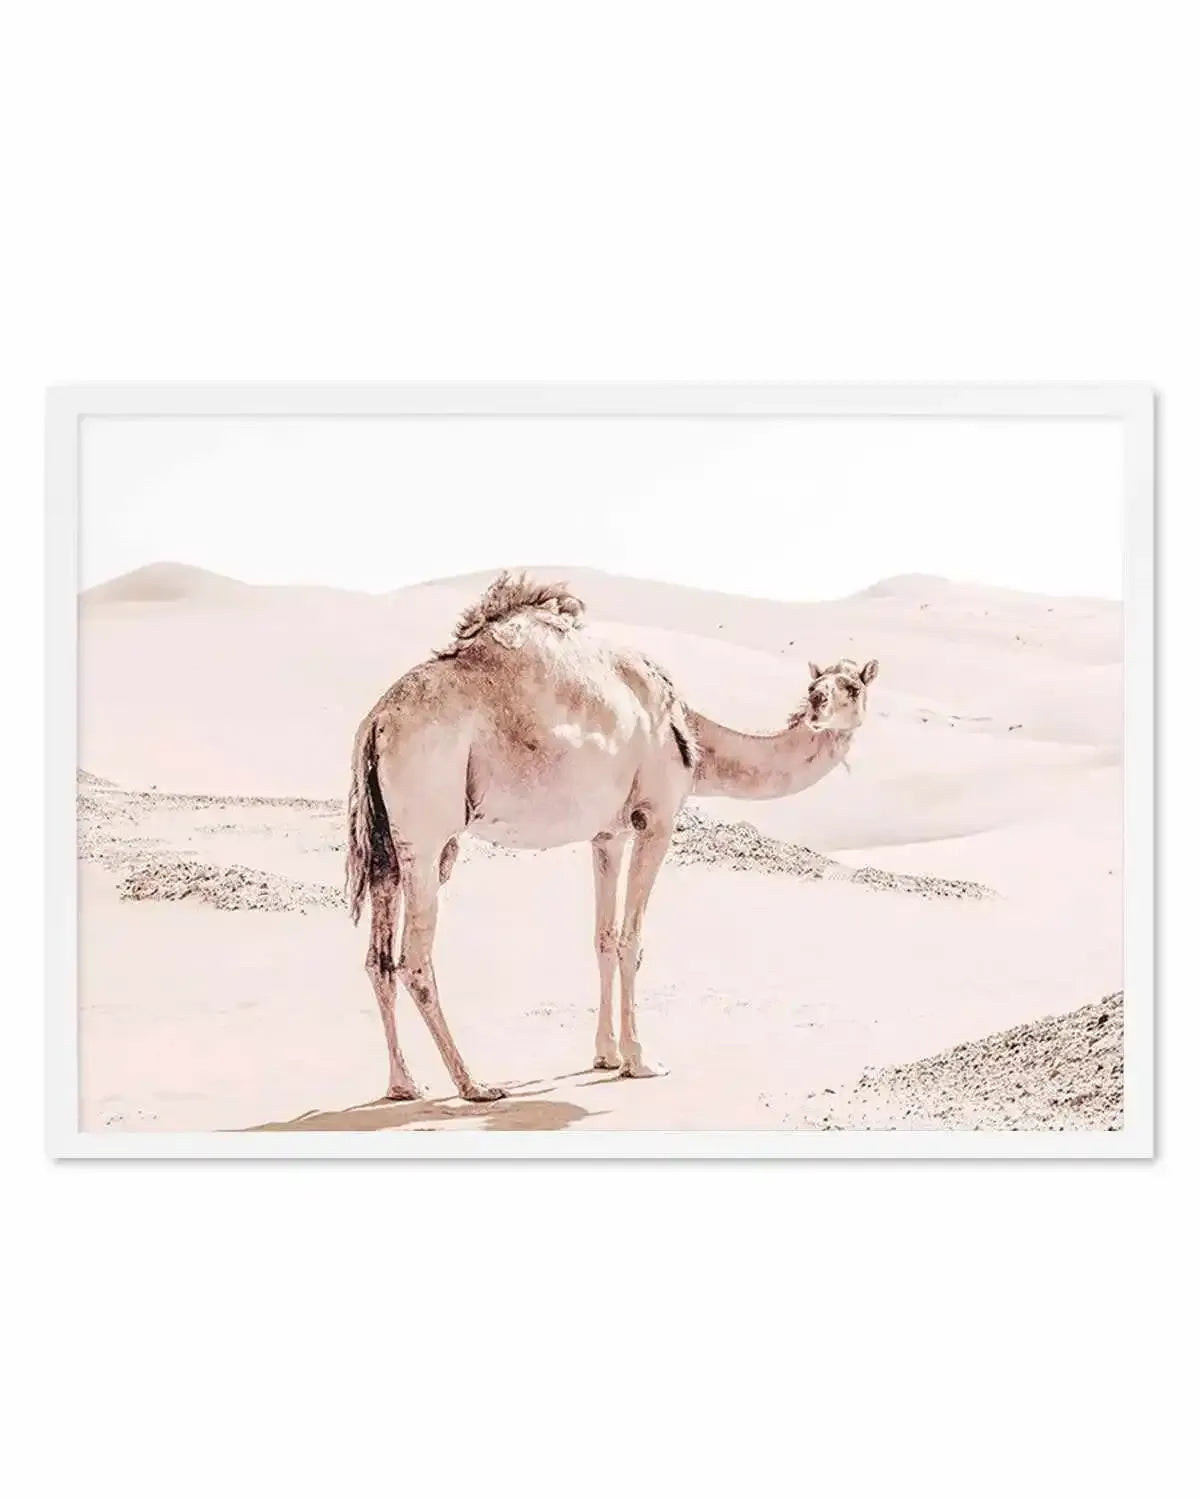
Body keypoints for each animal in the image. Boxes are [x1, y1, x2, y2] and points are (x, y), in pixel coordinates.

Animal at [345, 572, 878, 1102]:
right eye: (817, 684)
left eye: (850, 686)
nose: (817, 705)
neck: (692, 736)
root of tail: (377, 720)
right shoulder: (655, 820)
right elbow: (631, 937)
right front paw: (640, 1060)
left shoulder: (609, 833)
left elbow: (603, 936)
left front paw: (605, 1055)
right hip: (427, 831)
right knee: (414, 960)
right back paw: (473, 1083)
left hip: (388, 841)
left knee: (378, 958)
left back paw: (404, 1083)